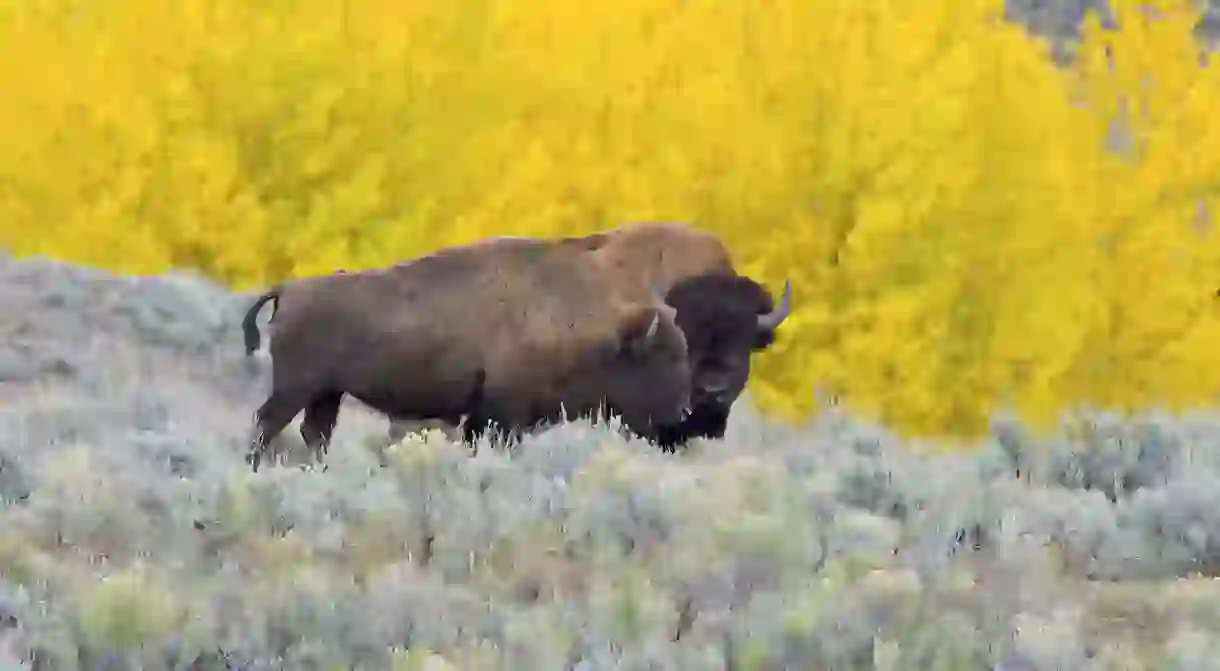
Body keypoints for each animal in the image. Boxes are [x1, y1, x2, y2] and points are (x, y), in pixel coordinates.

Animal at [239, 236, 697, 473]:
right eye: (664, 359)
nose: (684, 411)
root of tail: (290, 289)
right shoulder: (501, 415)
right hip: (296, 388)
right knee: (268, 422)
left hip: (326, 393)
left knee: (314, 431)